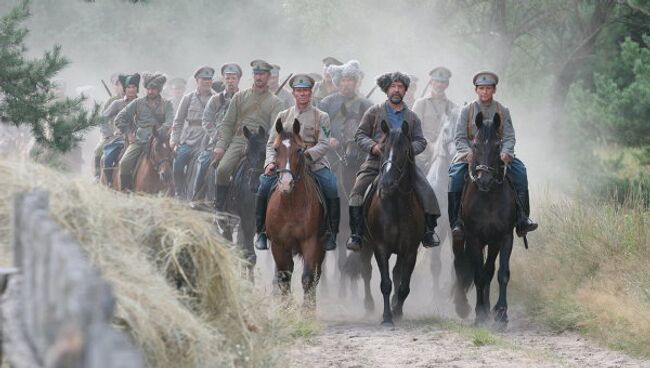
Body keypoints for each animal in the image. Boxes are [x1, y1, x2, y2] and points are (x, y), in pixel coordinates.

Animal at [264, 119, 324, 310]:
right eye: (276, 149)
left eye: (299, 150)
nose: (285, 183)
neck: (290, 205)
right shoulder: (278, 244)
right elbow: (284, 276)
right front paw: (285, 308)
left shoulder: (311, 242)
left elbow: (308, 277)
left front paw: (307, 311)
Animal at [362, 120, 422, 324]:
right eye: (382, 149)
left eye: (405, 151)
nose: (387, 183)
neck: (395, 205)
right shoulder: (380, 248)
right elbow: (386, 283)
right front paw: (387, 317)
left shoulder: (410, 251)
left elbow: (403, 286)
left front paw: (397, 311)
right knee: (368, 271)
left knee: (397, 274)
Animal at [450, 111, 516, 328]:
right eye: (475, 145)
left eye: (497, 146)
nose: (484, 180)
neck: (488, 198)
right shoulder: (473, 238)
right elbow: (478, 275)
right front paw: (479, 314)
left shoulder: (504, 237)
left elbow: (500, 274)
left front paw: (501, 313)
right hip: (459, 238)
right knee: (460, 264)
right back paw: (463, 306)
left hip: (492, 242)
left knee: (489, 270)